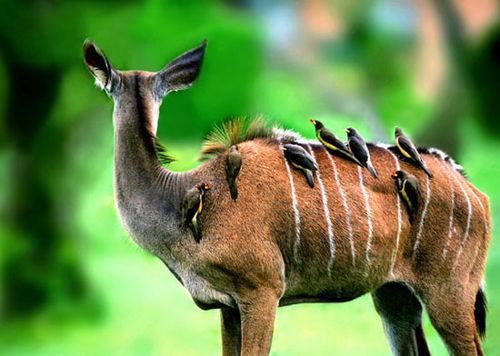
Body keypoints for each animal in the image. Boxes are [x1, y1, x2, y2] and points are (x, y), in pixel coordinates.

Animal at [84, 39, 490, 356]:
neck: (181, 198)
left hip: (451, 292)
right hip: (394, 296)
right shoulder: (228, 305)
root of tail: (477, 193)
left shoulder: (262, 291)